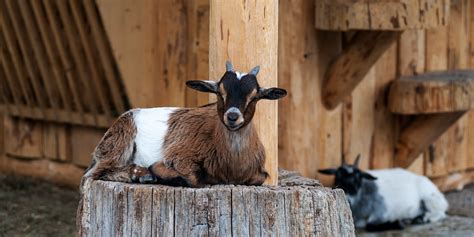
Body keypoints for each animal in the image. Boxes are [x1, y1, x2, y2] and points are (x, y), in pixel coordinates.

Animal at [83, 61, 286, 187]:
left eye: (255, 96)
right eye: (220, 92)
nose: (232, 116)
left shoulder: (258, 173)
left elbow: (260, 178)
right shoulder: (180, 155)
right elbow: (191, 179)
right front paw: (155, 172)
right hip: (120, 142)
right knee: (94, 173)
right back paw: (141, 174)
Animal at [318, 156, 448, 231]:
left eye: (358, 178)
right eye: (337, 178)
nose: (349, 198)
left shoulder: (381, 212)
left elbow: (370, 226)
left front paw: (397, 224)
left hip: (430, 198)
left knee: (440, 213)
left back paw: (423, 219)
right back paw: (415, 218)